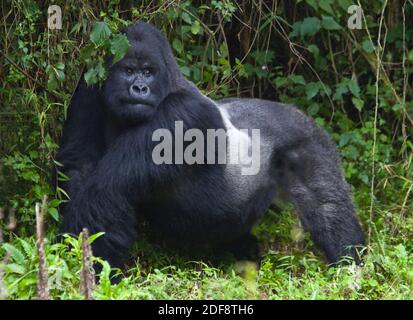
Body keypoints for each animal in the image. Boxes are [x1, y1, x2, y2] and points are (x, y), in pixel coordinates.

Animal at [56, 21, 362, 268]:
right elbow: (79, 164)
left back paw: (349, 263)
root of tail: (301, 114)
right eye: (129, 70)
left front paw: (92, 270)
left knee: (328, 208)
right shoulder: (90, 85)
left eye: (149, 72)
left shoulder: (181, 115)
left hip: (309, 140)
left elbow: (107, 192)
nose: (139, 88)